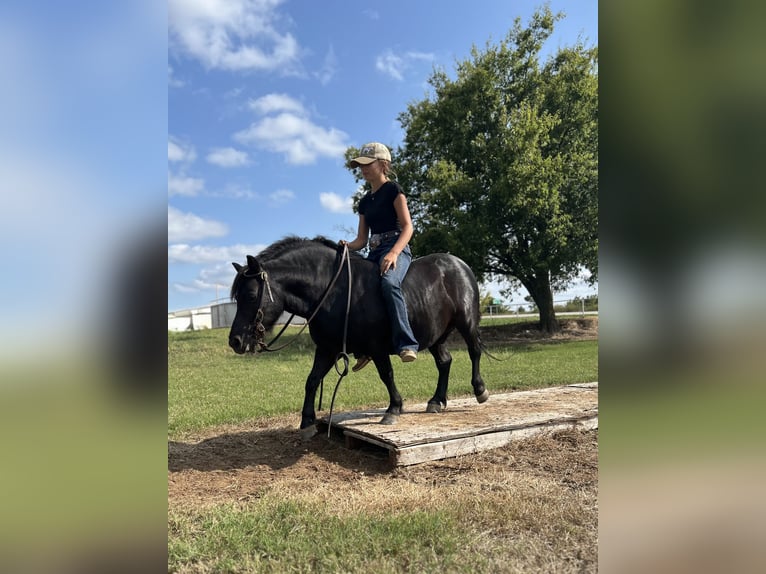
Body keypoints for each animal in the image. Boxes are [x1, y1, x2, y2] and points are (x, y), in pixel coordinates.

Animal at [228, 236, 489, 438]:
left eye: (250, 295)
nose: (235, 341)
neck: (334, 291)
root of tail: (458, 264)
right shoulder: (327, 348)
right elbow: (312, 380)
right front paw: (307, 422)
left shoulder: (377, 346)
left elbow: (387, 374)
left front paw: (394, 409)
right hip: (436, 336)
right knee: (444, 361)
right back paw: (436, 401)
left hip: (466, 322)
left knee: (474, 351)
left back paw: (479, 390)